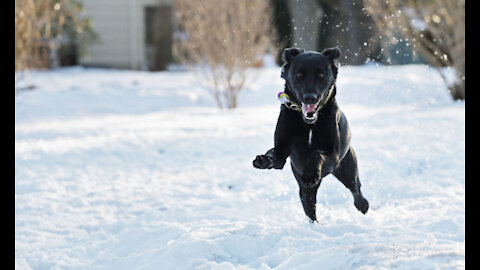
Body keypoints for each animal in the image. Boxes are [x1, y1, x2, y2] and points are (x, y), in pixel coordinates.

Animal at [253, 47, 370, 223]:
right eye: (299, 75)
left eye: (321, 75)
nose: (310, 97)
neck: (308, 124)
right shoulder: (281, 152)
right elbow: (274, 155)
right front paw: (263, 160)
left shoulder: (333, 155)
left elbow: (316, 153)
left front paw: (310, 174)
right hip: (304, 191)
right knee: (310, 209)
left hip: (347, 169)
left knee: (355, 188)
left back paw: (363, 205)